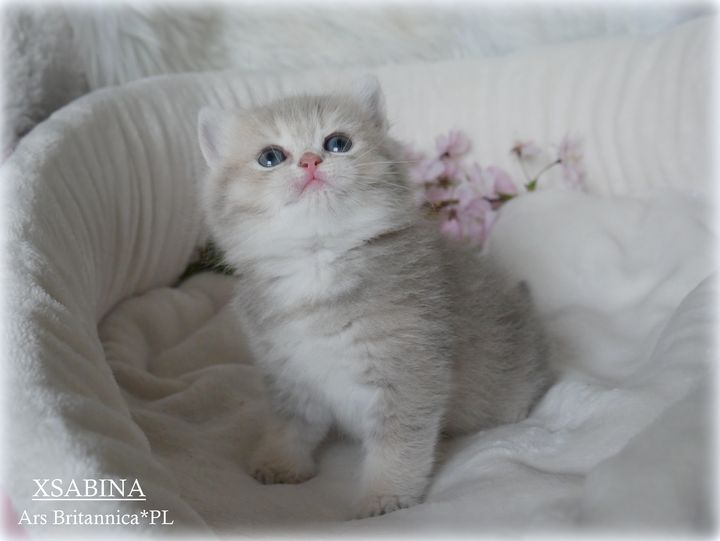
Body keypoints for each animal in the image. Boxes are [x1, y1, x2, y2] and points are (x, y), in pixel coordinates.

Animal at [196, 78, 554, 519]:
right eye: (270, 157)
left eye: (337, 143)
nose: (311, 161)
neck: (319, 268)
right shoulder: (289, 372)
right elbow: (289, 423)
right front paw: (281, 462)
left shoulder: (411, 370)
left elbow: (398, 443)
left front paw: (385, 496)